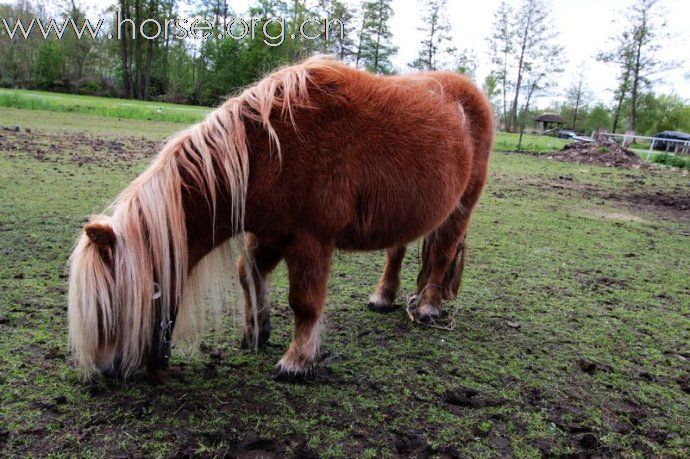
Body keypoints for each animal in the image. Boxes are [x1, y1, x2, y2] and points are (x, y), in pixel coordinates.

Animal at [68, 57, 490, 380]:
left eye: (111, 303)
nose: (106, 371)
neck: (269, 153)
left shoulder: (310, 241)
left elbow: (304, 301)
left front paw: (296, 360)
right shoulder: (271, 233)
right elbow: (247, 272)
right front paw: (257, 330)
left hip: (461, 209)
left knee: (442, 255)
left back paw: (429, 306)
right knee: (397, 251)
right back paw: (383, 296)